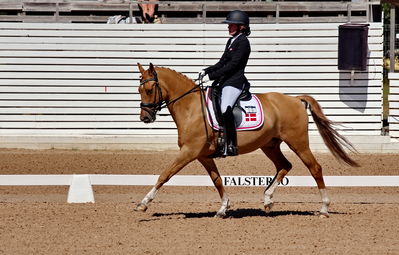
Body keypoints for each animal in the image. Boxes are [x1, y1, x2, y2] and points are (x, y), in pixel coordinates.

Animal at [134, 62, 360, 218]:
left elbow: (165, 174)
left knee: (315, 168)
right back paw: (267, 200)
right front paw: (223, 209)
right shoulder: (203, 155)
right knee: (284, 165)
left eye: (149, 90)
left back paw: (324, 208)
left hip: (298, 142)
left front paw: (143, 203)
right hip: (270, 145)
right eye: (139, 90)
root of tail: (295, 99)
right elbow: (216, 180)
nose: (145, 118)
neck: (191, 108)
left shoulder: (189, 151)